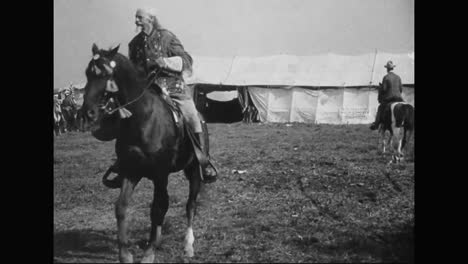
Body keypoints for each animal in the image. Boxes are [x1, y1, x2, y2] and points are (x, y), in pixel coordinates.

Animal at [80, 44, 212, 262]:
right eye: (87, 73)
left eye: (105, 73)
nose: (88, 112)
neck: (142, 118)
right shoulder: (131, 171)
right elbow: (121, 207)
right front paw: (125, 254)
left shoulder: (160, 174)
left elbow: (157, 210)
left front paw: (149, 254)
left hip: (194, 171)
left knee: (190, 205)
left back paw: (188, 245)